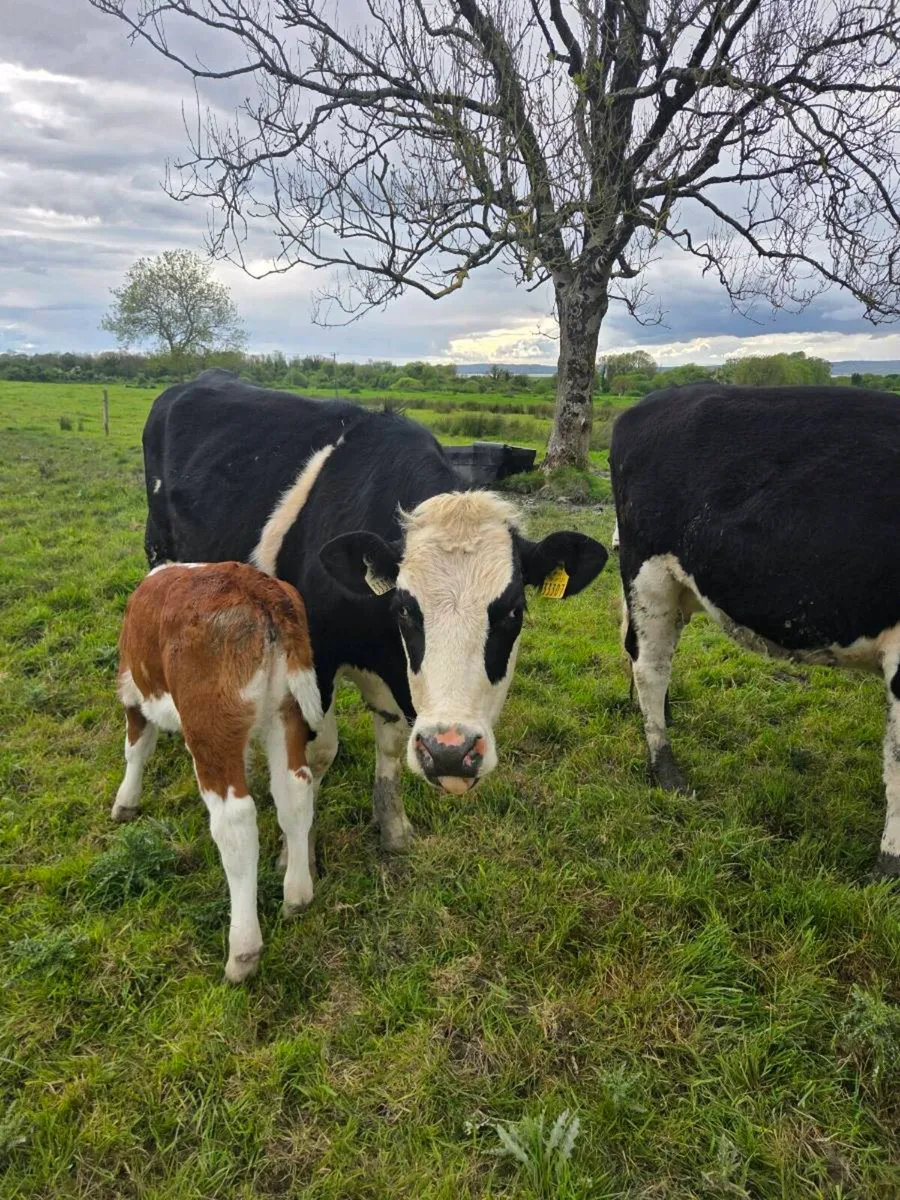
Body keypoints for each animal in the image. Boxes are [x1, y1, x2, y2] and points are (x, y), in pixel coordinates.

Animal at [115, 560, 323, 981]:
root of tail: (255, 586)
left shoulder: (132, 687)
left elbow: (137, 746)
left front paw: (126, 800)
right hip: (286, 712)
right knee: (294, 794)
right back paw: (297, 893)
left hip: (210, 724)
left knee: (236, 823)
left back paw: (242, 951)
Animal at [143, 370, 608, 852]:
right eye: (403, 608)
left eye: (513, 611)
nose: (450, 752)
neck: (379, 644)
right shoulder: (315, 660)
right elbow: (318, 752)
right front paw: (297, 850)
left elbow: (389, 743)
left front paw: (392, 826)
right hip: (160, 552)